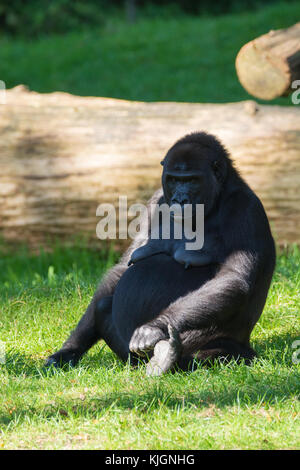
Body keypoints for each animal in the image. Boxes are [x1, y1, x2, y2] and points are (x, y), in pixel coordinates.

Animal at [47, 131, 276, 374]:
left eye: (192, 180)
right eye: (174, 179)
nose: (179, 200)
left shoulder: (245, 209)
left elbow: (233, 278)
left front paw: (155, 325)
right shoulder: (156, 199)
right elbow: (122, 269)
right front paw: (70, 350)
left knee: (224, 349)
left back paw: (171, 359)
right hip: (132, 359)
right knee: (103, 308)